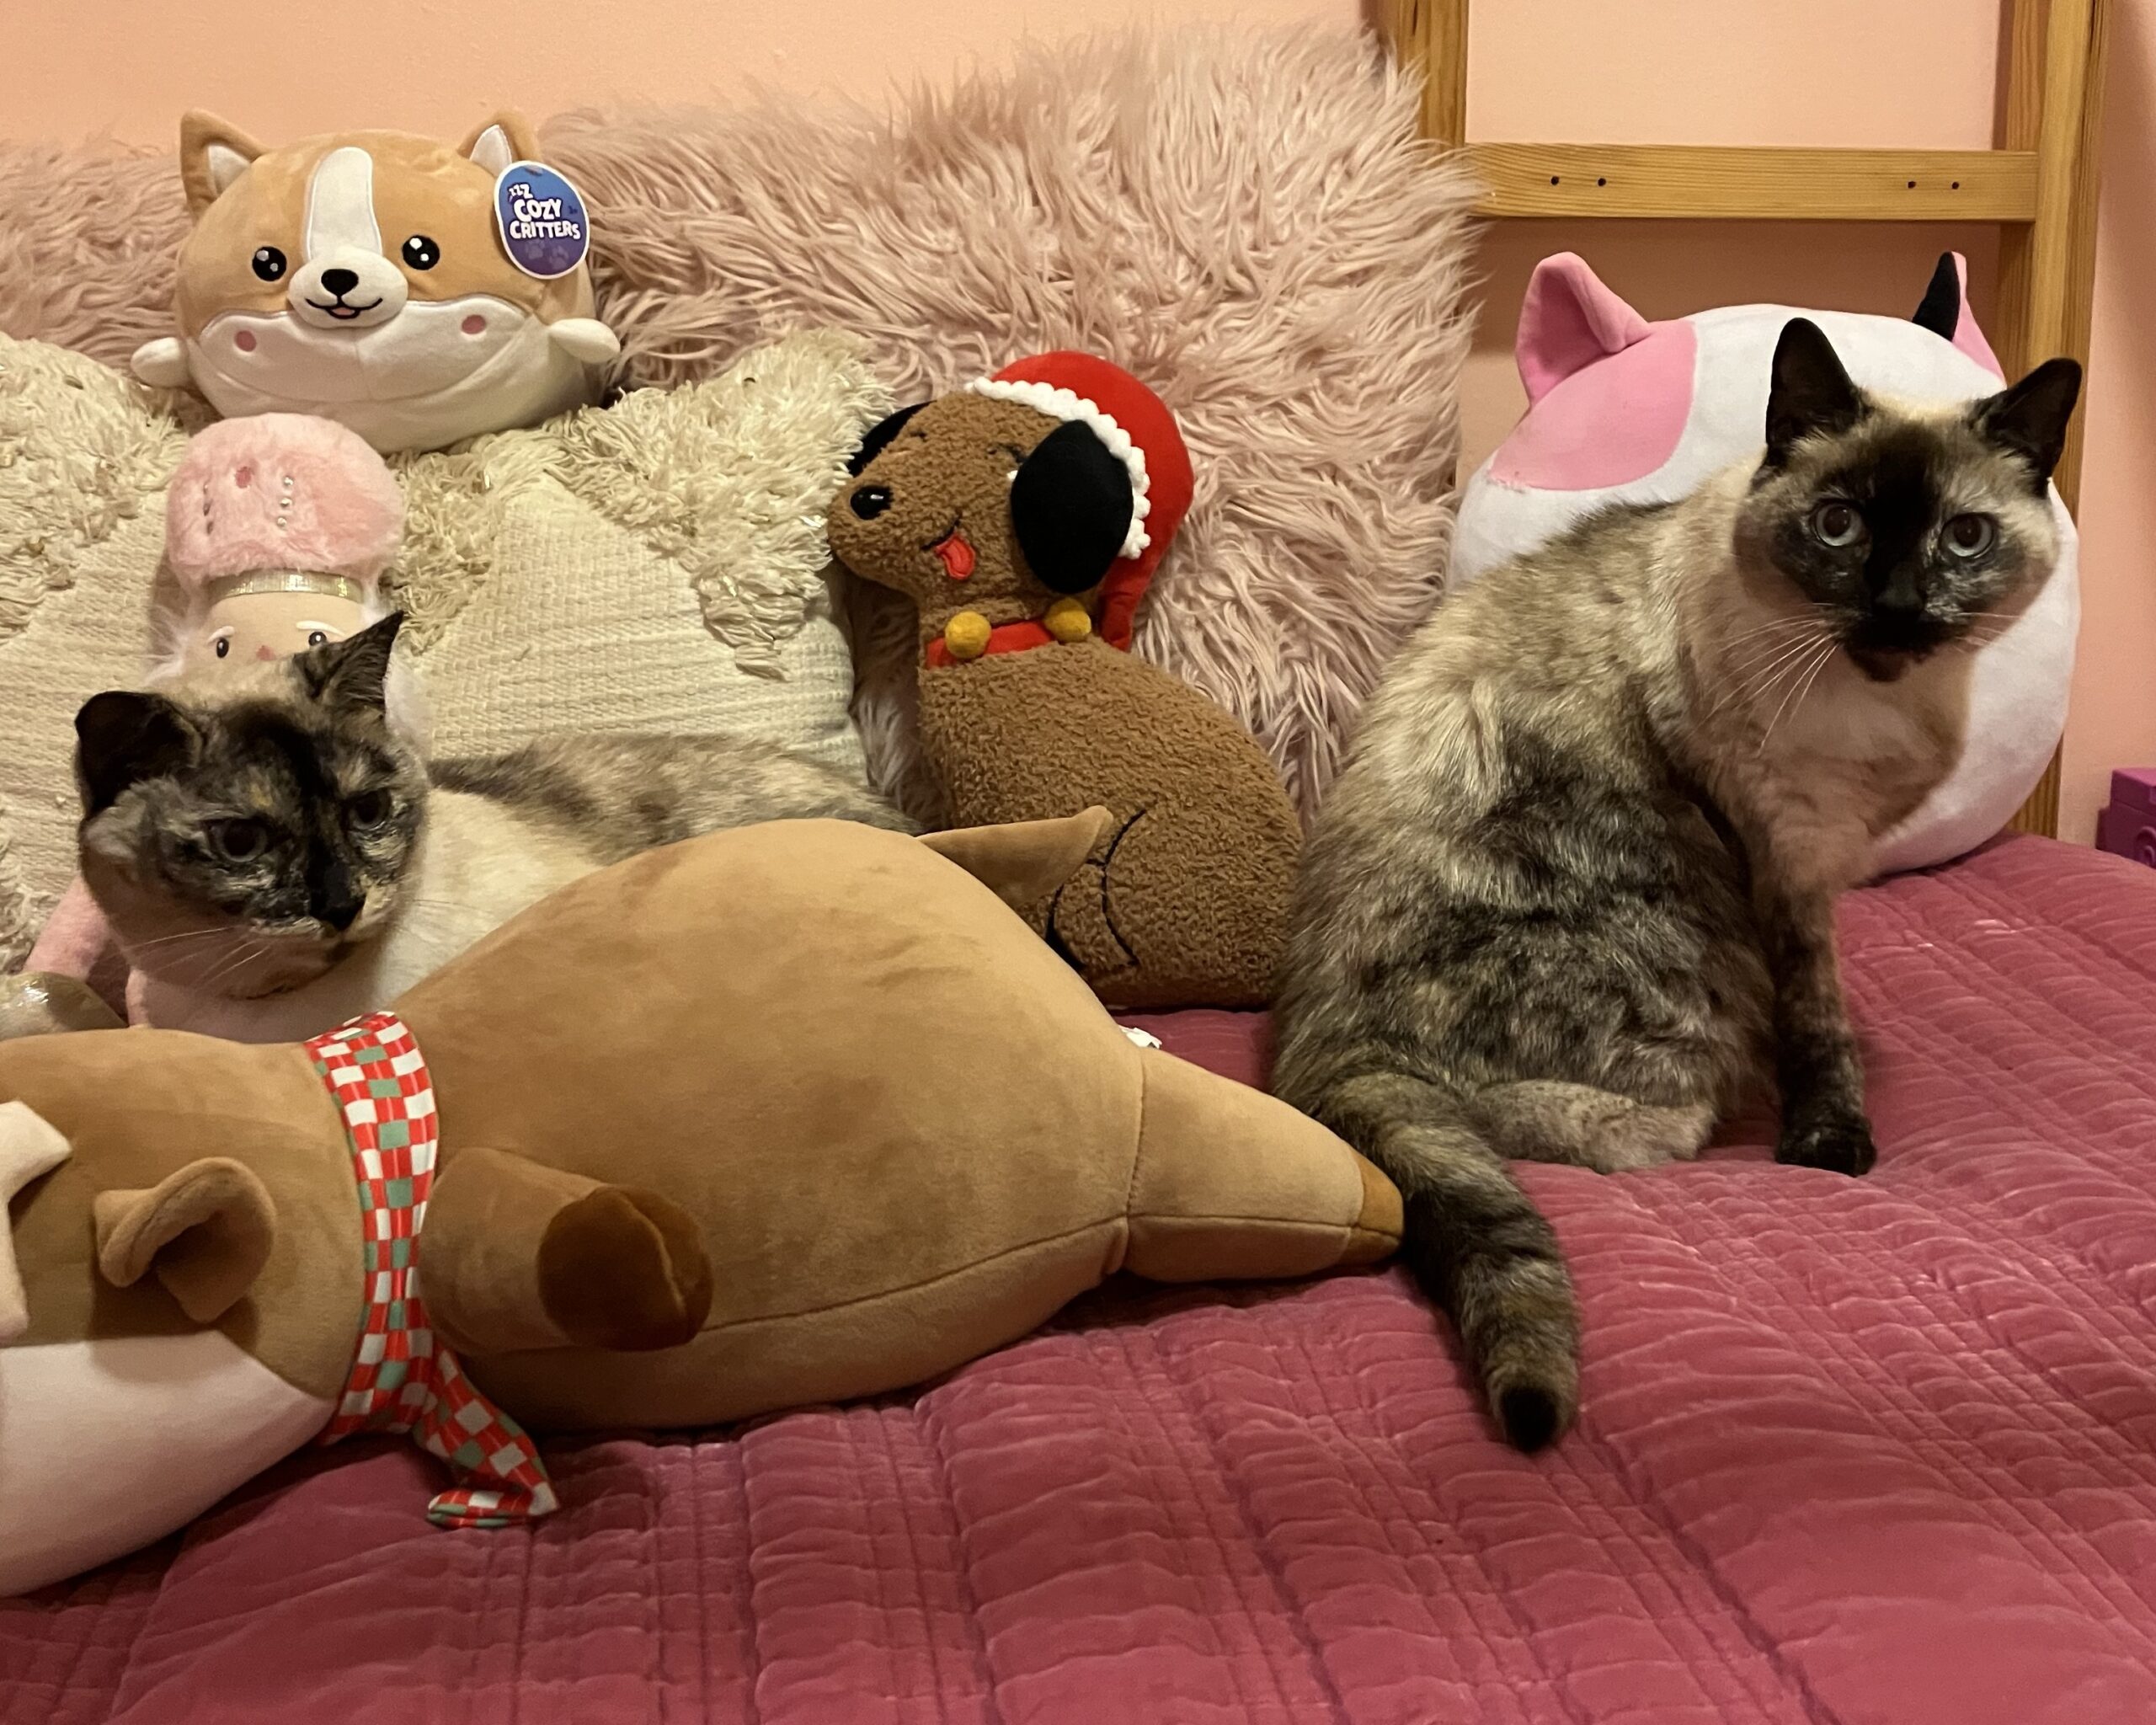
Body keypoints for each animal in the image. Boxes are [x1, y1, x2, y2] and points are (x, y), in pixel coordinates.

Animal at [1271, 318, 2081, 1452]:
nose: (1897, 607)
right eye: (1836, 525)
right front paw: (1830, 1140)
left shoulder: (1816, 864)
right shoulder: (1788, 865)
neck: (1890, 707)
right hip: (1677, 964)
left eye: (1964, 538)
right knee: (1549, 1117)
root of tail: (1316, 1047)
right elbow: (1819, 1019)